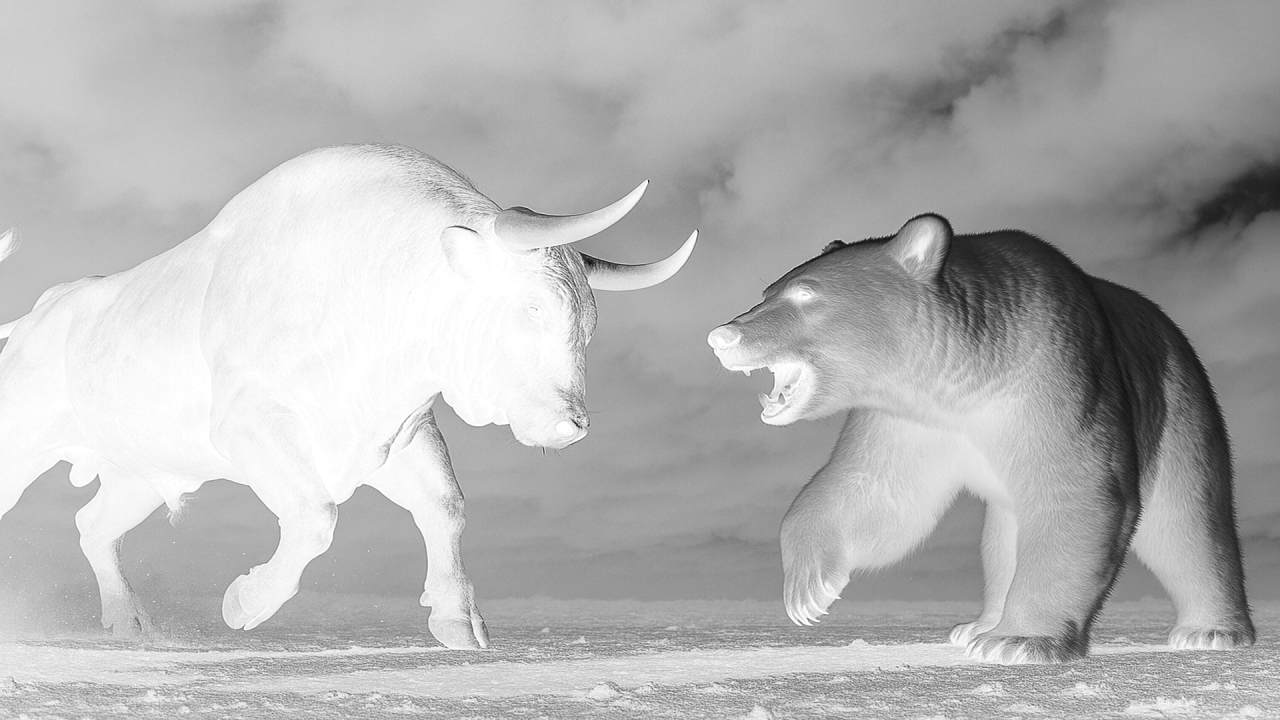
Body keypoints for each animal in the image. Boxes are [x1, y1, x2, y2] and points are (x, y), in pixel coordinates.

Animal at [0, 143, 696, 649]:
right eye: (531, 306)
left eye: (590, 321)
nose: (570, 423)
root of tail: (34, 317)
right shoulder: (252, 424)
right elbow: (315, 518)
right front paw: (244, 602)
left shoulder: (401, 431)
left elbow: (445, 508)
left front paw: (457, 622)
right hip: (24, 445)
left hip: (142, 470)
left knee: (93, 527)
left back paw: (128, 623)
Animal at [707, 213, 1255, 663]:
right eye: (767, 291)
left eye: (806, 293)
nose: (721, 336)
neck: (974, 364)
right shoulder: (915, 419)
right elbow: (877, 490)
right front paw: (808, 591)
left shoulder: (1051, 373)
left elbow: (1078, 491)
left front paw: (1021, 640)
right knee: (1001, 537)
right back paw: (977, 624)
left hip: (1177, 405)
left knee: (1187, 520)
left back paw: (1211, 632)